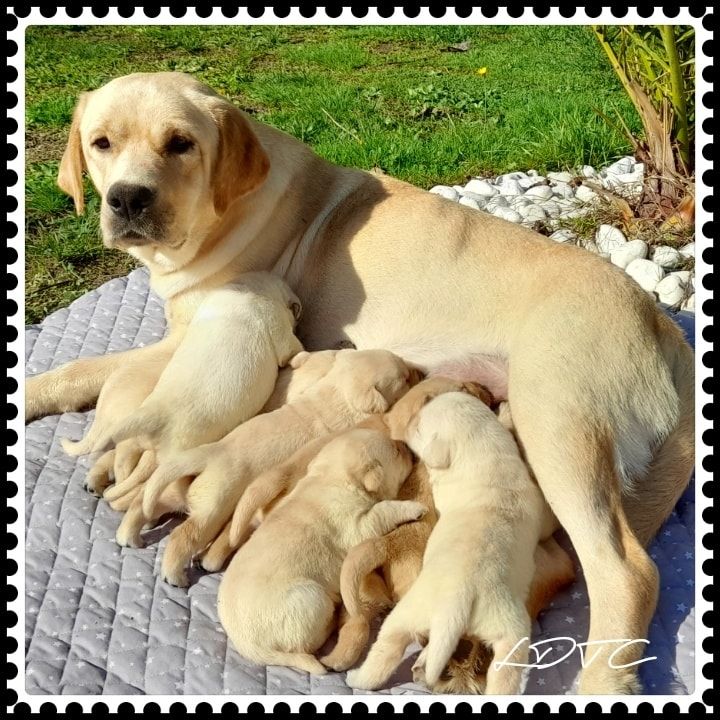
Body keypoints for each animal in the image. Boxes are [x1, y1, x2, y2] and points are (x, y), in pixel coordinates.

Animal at [114, 346, 420, 588]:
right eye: (404, 377)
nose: (418, 371)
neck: (335, 395)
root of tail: (210, 455)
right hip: (214, 506)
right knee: (184, 535)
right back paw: (174, 575)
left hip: (176, 491)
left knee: (142, 503)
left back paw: (128, 536)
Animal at [217, 424, 424, 672]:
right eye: (397, 451)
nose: (407, 446)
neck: (330, 477)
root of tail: (250, 647)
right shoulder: (355, 525)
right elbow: (383, 511)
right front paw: (414, 507)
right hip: (310, 599)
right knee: (307, 642)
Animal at [346, 390, 556, 696]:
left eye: (419, 428)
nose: (406, 427)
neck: (485, 455)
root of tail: (458, 602)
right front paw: (505, 415)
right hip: (509, 632)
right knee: (505, 673)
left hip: (407, 612)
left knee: (385, 651)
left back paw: (356, 678)